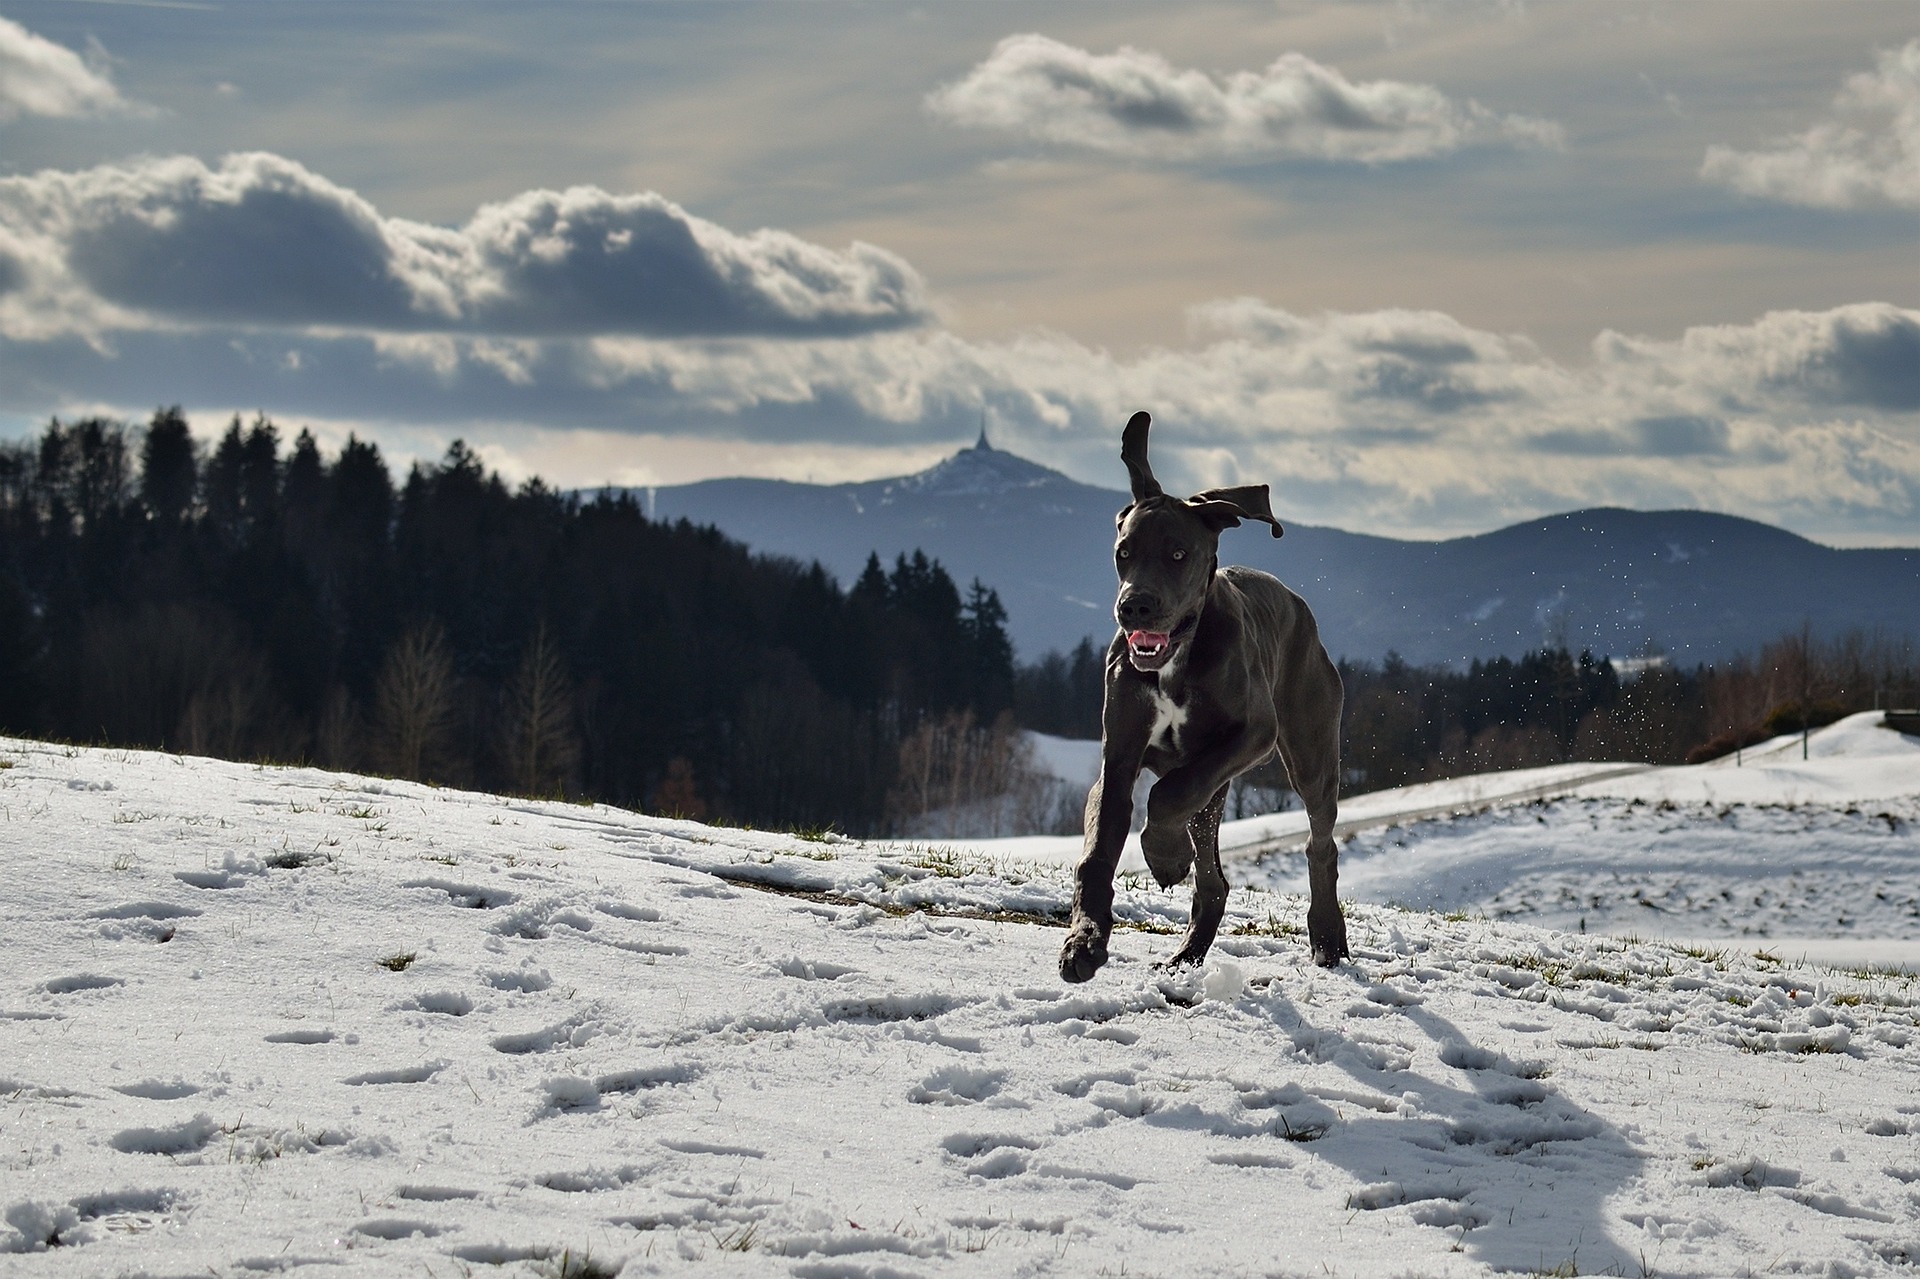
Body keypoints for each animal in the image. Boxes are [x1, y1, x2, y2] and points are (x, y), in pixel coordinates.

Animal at [1067, 409, 1351, 975]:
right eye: (1124, 552)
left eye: (1179, 553)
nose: (1134, 606)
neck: (1176, 659)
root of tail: (1299, 607)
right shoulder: (1120, 753)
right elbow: (1099, 849)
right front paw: (1084, 942)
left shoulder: (1254, 733)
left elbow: (1165, 796)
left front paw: (1165, 856)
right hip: (1217, 791)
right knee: (1214, 879)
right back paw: (1186, 954)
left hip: (1309, 752)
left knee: (1320, 843)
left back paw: (1327, 936)